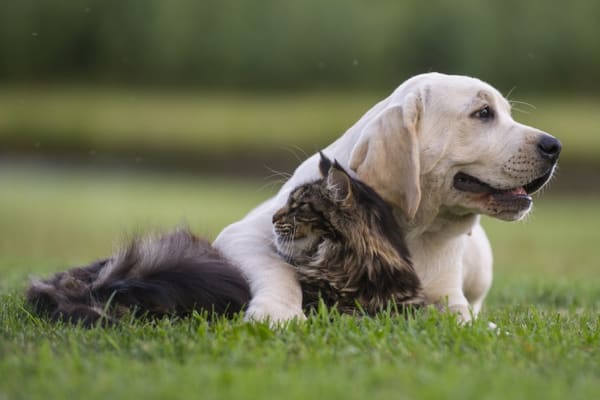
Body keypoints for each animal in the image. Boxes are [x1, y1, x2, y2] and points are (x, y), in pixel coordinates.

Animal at [213, 72, 560, 322]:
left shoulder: (447, 295)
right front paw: (277, 312)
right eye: (483, 113)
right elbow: (278, 269)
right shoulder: (242, 234)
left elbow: (460, 315)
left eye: (506, 113)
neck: (416, 231)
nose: (554, 146)